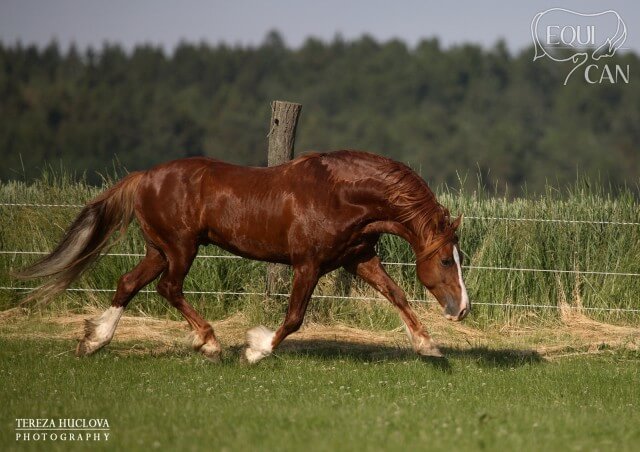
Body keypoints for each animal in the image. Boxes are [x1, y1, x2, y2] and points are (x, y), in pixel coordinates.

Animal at [16, 150, 470, 362]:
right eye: (447, 261)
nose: (462, 309)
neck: (340, 194)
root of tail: (142, 177)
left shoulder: (357, 259)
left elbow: (397, 295)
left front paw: (429, 346)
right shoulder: (308, 265)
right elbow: (294, 317)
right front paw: (256, 349)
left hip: (159, 249)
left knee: (129, 283)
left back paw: (94, 342)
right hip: (181, 248)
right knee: (168, 288)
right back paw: (210, 343)